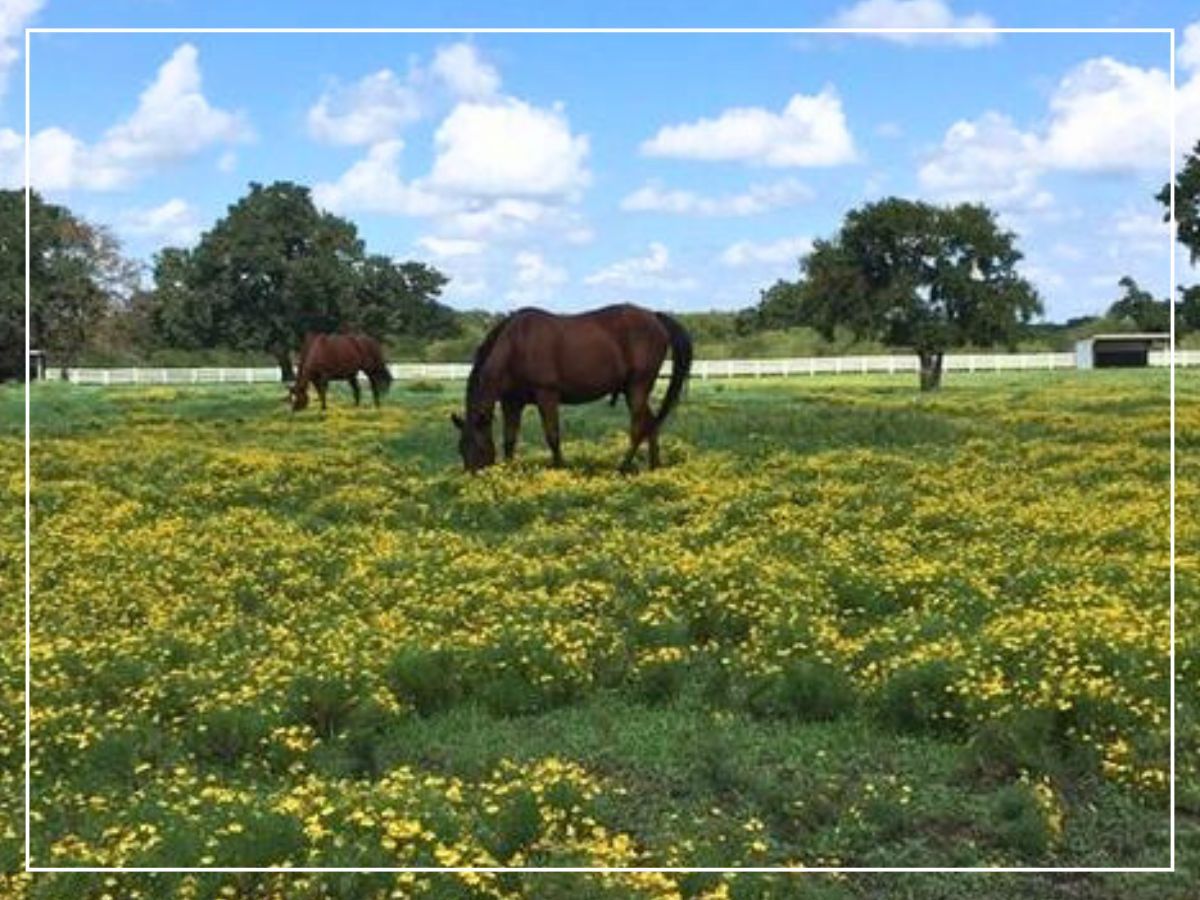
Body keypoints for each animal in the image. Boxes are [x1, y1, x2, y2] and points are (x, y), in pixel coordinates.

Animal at [451, 303, 696, 472]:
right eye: (461, 448)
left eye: (479, 447)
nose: (474, 478)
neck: (515, 345)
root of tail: (655, 316)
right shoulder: (512, 402)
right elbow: (509, 439)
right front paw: (509, 471)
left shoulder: (547, 395)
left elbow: (552, 436)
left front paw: (560, 468)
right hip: (632, 390)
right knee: (651, 423)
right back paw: (654, 466)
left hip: (637, 387)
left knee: (638, 427)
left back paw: (623, 468)